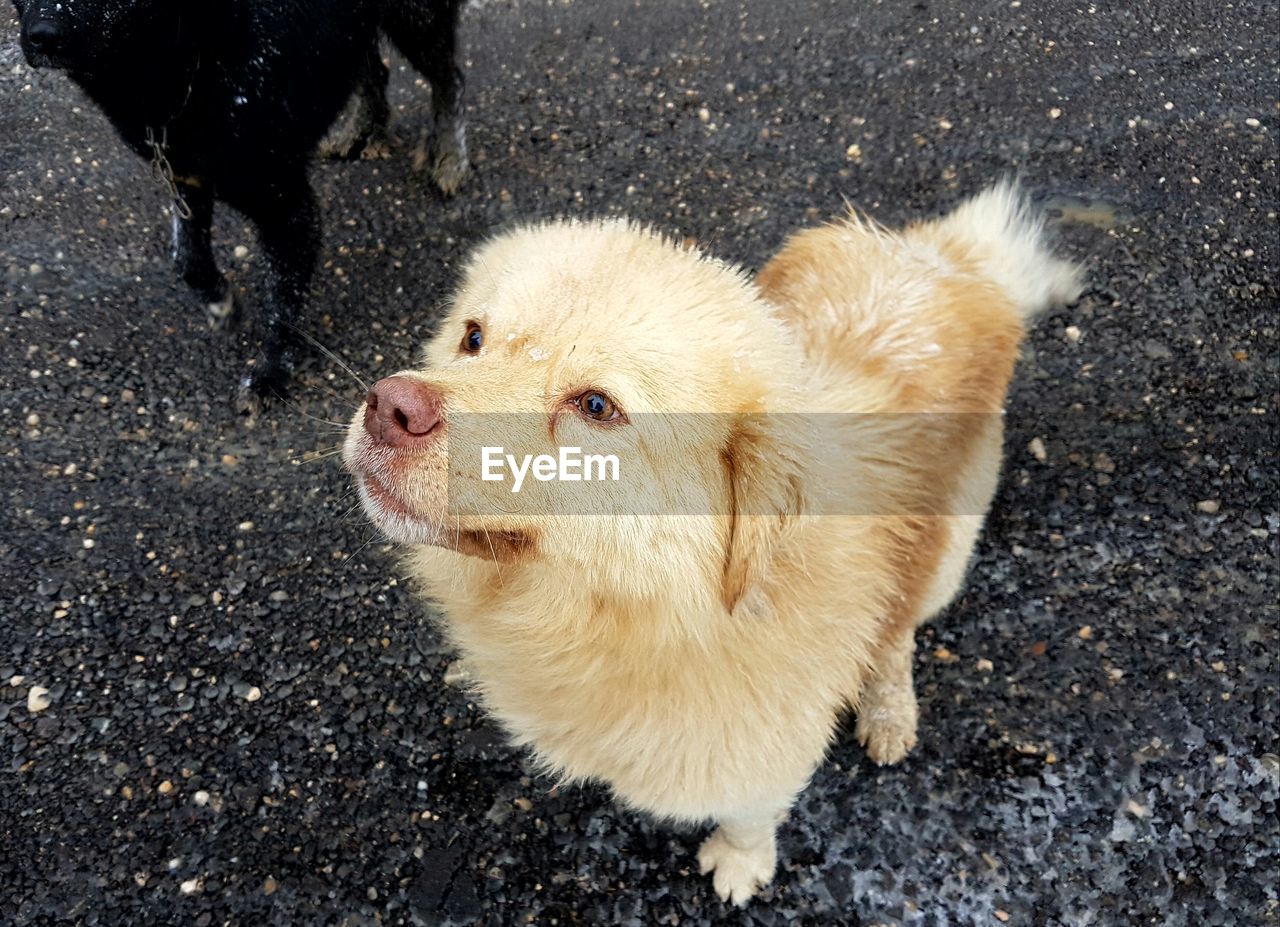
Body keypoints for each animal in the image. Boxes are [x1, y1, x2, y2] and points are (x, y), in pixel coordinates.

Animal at [11, 0, 471, 404]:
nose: (41, 37)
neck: (197, 53)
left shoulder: (287, 206)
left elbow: (282, 301)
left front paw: (271, 375)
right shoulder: (185, 177)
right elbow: (187, 258)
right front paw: (221, 304)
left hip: (416, 18)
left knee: (448, 77)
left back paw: (449, 156)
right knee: (374, 66)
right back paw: (364, 128)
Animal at [343, 184, 1080, 906]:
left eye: (596, 407)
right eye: (472, 337)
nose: (391, 406)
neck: (658, 618)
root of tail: (944, 258)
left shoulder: (766, 761)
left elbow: (751, 817)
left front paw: (740, 862)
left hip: (949, 549)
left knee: (900, 626)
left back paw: (889, 709)